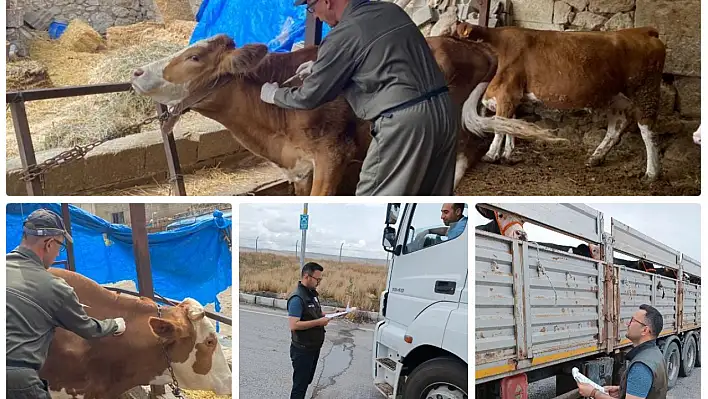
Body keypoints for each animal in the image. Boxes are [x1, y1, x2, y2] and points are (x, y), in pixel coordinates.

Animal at [130, 34, 568, 197]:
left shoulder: (332, 156)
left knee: (469, 146)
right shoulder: (299, 169)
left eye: (194, 56)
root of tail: (475, 45)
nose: (135, 72)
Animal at [456, 22, 668, 182]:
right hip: (615, 96)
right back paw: (596, 157)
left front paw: (491, 155)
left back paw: (652, 173)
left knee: (647, 129)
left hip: (645, 90)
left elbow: (500, 126)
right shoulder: (511, 96)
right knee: (618, 124)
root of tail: (643, 30)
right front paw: (507, 154)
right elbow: (509, 124)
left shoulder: (507, 92)